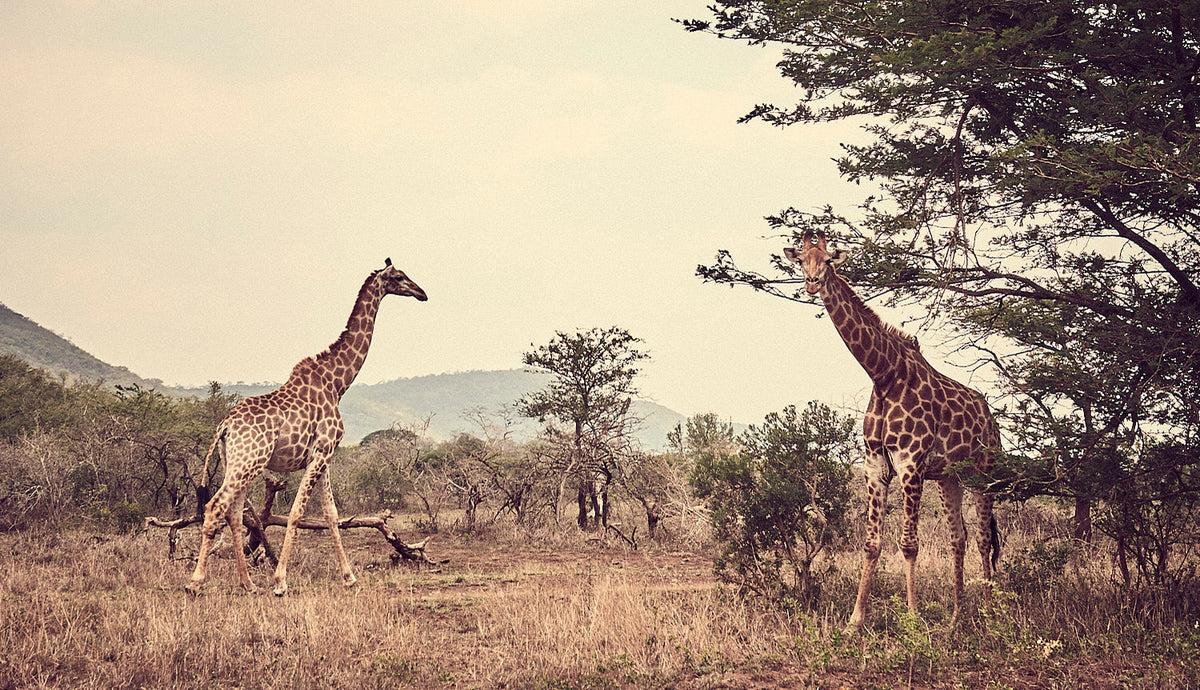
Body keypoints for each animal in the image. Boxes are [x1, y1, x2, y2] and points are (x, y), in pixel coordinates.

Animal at [187, 259, 427, 596]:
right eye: (399, 277)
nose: (422, 293)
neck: (338, 383)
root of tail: (224, 425)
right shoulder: (321, 453)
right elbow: (297, 513)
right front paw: (280, 582)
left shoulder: (324, 457)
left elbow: (332, 515)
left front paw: (349, 577)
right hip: (249, 461)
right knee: (214, 507)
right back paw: (195, 583)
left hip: (235, 462)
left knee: (233, 514)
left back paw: (248, 583)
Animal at [783, 231, 999, 632]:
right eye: (801, 259)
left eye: (829, 260)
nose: (812, 282)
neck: (883, 375)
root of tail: (991, 419)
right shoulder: (876, 465)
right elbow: (872, 544)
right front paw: (854, 621)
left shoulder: (910, 463)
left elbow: (909, 544)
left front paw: (913, 619)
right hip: (949, 477)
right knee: (959, 538)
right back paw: (957, 616)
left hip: (983, 472)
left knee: (982, 538)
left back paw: (992, 615)